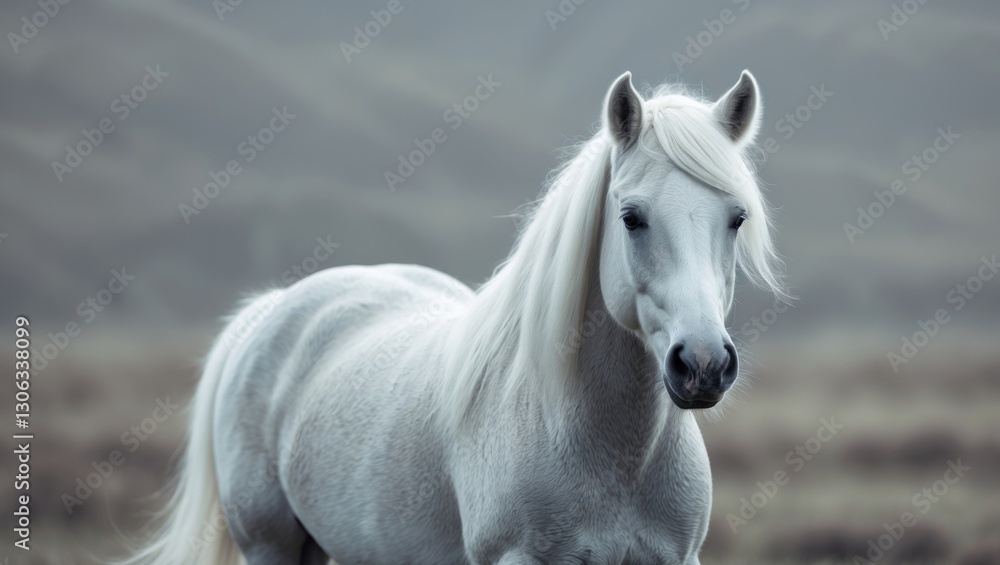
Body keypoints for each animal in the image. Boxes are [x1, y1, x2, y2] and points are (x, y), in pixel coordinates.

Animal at [124, 70, 784, 565]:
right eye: (631, 217)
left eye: (737, 218)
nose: (703, 363)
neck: (609, 455)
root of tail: (274, 309)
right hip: (272, 546)